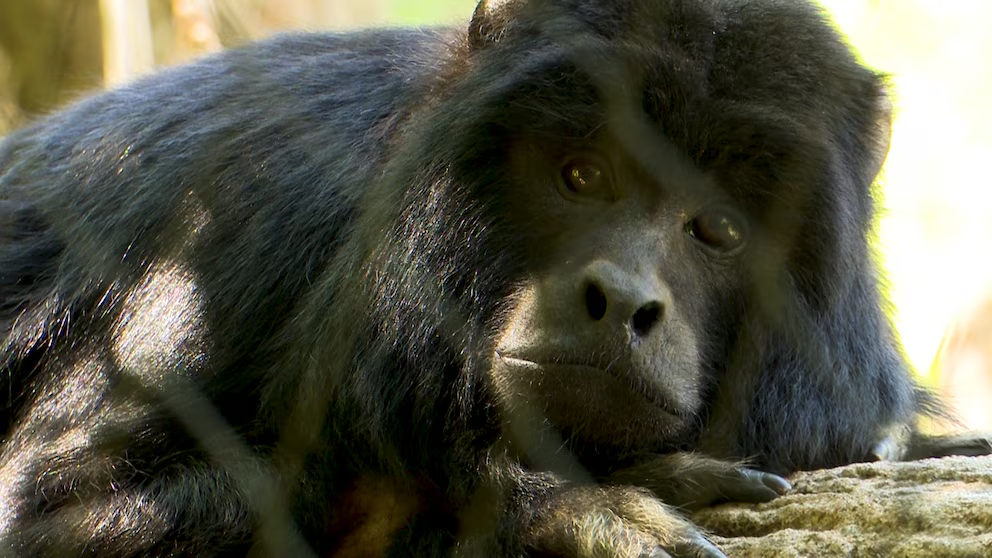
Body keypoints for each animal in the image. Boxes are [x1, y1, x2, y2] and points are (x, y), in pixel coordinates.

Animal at [0, 0, 988, 556]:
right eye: (582, 174)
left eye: (717, 227)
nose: (621, 299)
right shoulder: (248, 218)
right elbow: (41, 519)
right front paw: (550, 499)